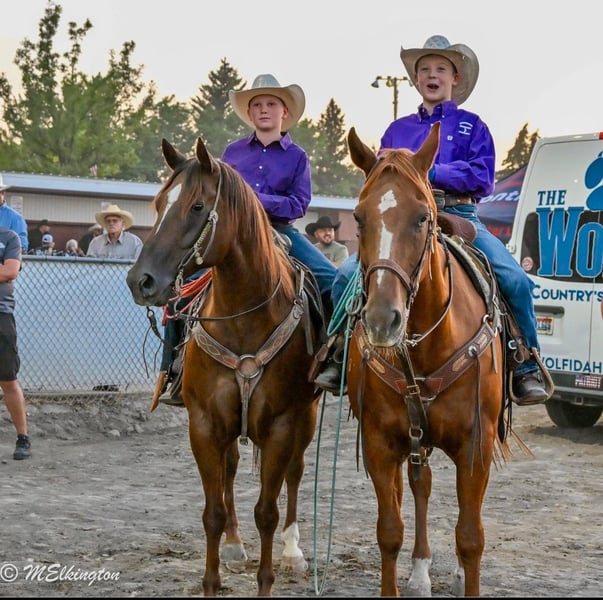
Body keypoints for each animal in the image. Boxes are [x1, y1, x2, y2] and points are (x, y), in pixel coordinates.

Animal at [126, 137, 323, 596]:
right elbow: (212, 511)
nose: (140, 281)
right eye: (159, 203)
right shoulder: (205, 423)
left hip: (306, 415)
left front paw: (267, 579)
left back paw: (293, 551)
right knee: (231, 469)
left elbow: (267, 511)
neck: (244, 317)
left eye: (197, 206)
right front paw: (213, 578)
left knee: (295, 472)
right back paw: (234, 545)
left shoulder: (281, 425)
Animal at [344, 122, 507, 597]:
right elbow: (389, 531)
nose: (383, 319)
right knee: (422, 487)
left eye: (422, 218)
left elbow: (471, 537)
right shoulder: (380, 442)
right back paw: (420, 570)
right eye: (358, 218)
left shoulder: (475, 444)